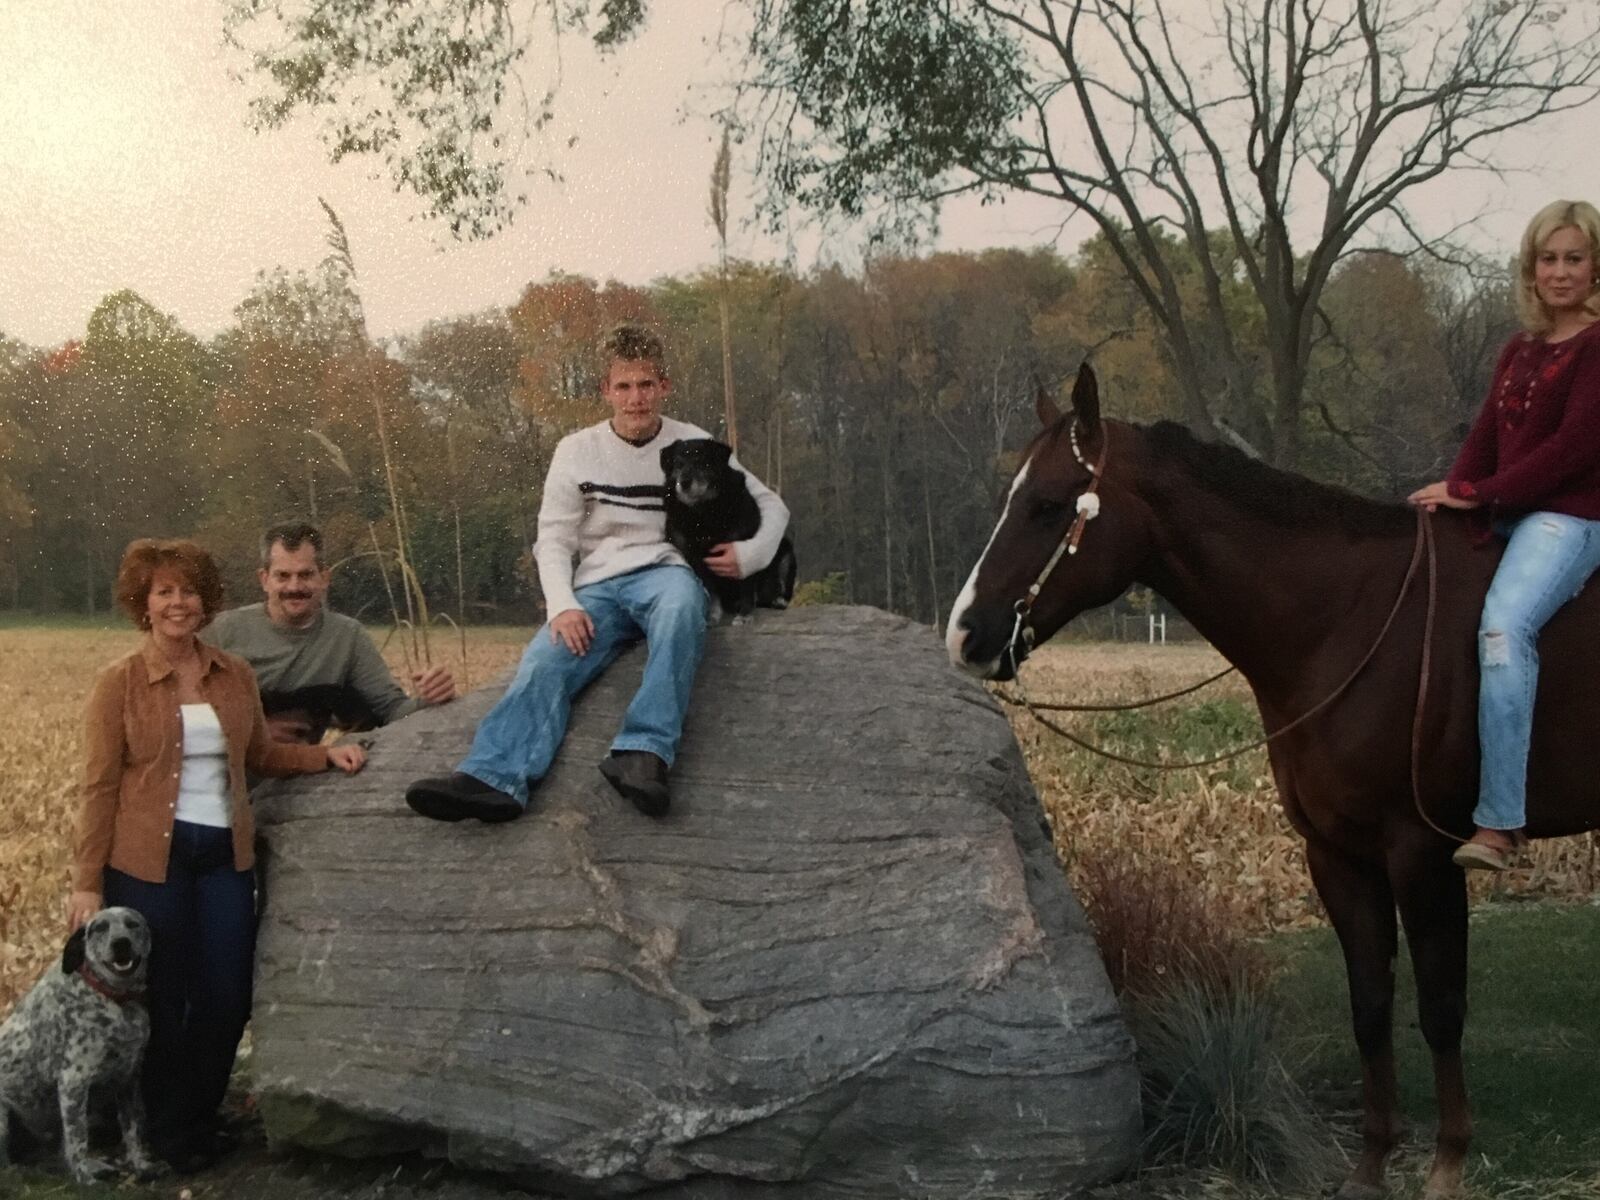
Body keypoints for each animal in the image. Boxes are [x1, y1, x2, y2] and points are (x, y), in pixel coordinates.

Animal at [0, 908, 160, 1184]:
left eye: (132, 924)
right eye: (99, 927)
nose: (121, 943)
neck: (116, 1000)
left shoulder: (128, 1078)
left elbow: (132, 1128)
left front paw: (139, 1163)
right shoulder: (73, 1081)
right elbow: (78, 1138)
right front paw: (85, 1177)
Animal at [659, 438, 796, 620]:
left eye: (702, 463)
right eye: (678, 464)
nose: (684, 483)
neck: (703, 511)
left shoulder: (743, 549)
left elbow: (745, 584)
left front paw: (745, 614)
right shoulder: (695, 557)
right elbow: (711, 589)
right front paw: (713, 613)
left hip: (786, 554)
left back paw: (777, 600)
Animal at [940, 366, 1593, 1200]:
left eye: (1049, 504)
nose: (966, 634)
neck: (1352, 620)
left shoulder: (1421, 853)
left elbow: (1441, 1006)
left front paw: (1447, 1163)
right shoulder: (1337, 855)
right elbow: (1370, 1004)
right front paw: (1371, 1165)